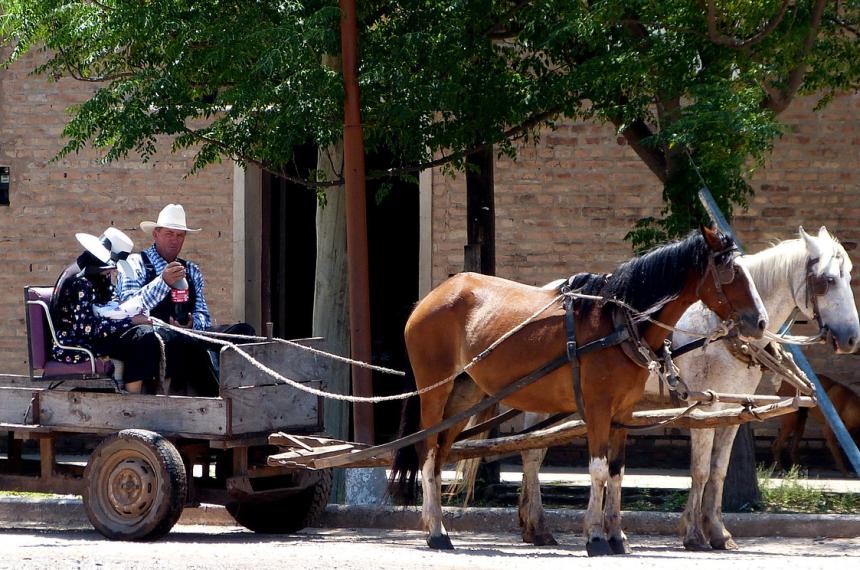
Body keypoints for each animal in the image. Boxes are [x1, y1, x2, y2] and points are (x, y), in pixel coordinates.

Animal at [390, 224, 764, 552]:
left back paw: (437, 525)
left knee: (440, 454)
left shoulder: (622, 413)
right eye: (730, 272)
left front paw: (616, 538)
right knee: (427, 453)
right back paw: (437, 532)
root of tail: (431, 298)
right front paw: (596, 537)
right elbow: (598, 470)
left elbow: (616, 473)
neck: (617, 321)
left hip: (464, 395)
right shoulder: (597, 409)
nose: (759, 322)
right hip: (435, 392)